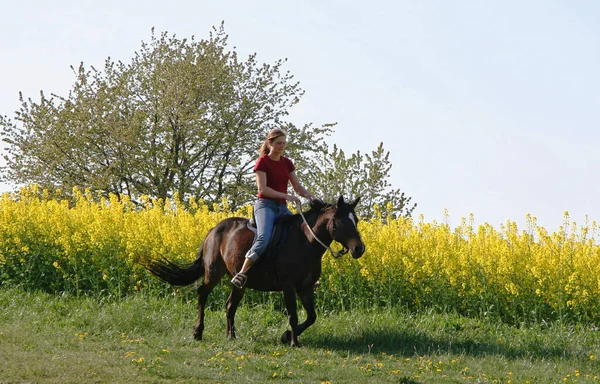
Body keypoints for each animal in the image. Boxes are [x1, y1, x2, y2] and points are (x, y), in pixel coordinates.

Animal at [142, 196, 366, 346]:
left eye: (356, 220)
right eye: (342, 221)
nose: (359, 249)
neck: (306, 242)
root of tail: (215, 229)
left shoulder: (306, 287)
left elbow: (312, 316)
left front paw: (286, 336)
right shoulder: (289, 287)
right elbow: (293, 315)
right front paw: (293, 342)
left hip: (238, 281)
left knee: (230, 306)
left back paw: (231, 336)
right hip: (213, 272)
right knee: (202, 294)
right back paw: (198, 332)